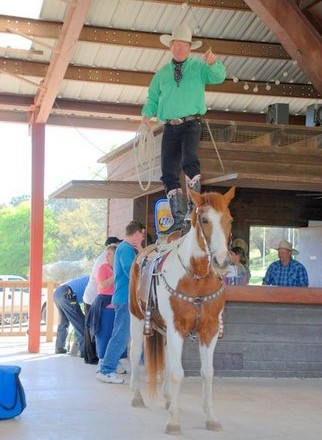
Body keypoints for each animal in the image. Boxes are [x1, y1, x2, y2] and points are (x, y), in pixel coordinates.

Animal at [129, 186, 236, 434]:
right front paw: (174, 422)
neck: (197, 277)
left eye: (229, 220)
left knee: (168, 360)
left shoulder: (209, 330)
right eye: (205, 220)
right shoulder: (176, 327)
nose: (222, 261)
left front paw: (211, 418)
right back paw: (137, 396)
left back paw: (169, 400)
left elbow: (207, 373)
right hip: (137, 318)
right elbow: (178, 373)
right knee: (135, 352)